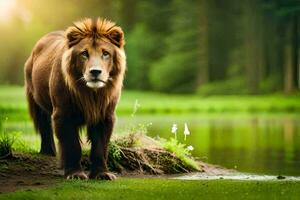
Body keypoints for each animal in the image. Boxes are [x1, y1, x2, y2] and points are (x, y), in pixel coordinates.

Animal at [23, 18, 125, 180]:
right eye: (84, 53)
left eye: (105, 53)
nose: (95, 72)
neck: (90, 94)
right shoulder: (63, 113)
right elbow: (72, 145)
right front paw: (75, 174)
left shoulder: (105, 115)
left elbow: (100, 146)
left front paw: (102, 174)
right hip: (36, 100)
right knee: (44, 126)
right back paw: (49, 151)